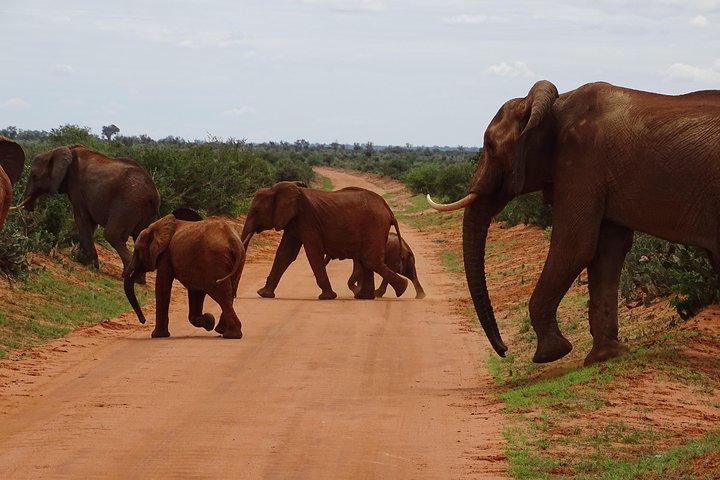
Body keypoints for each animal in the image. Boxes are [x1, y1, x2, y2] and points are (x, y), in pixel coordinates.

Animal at [20, 144, 160, 276]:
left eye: (34, 175)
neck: (60, 149)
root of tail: (153, 194)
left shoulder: (77, 187)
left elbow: (82, 219)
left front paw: (88, 263)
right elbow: (90, 224)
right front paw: (81, 258)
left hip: (128, 204)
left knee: (112, 235)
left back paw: (129, 276)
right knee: (140, 238)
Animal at [240, 181, 408, 300]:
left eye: (256, 211)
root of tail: (389, 211)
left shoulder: (307, 220)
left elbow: (313, 252)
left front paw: (327, 297)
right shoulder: (293, 221)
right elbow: (285, 254)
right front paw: (263, 294)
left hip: (375, 226)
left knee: (370, 260)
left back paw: (402, 289)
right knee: (366, 261)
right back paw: (365, 297)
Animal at [428, 80, 720, 366]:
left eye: (489, 145)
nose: (504, 350)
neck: (550, 107)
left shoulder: (581, 164)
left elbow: (574, 246)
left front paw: (551, 354)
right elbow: (607, 251)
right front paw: (605, 356)